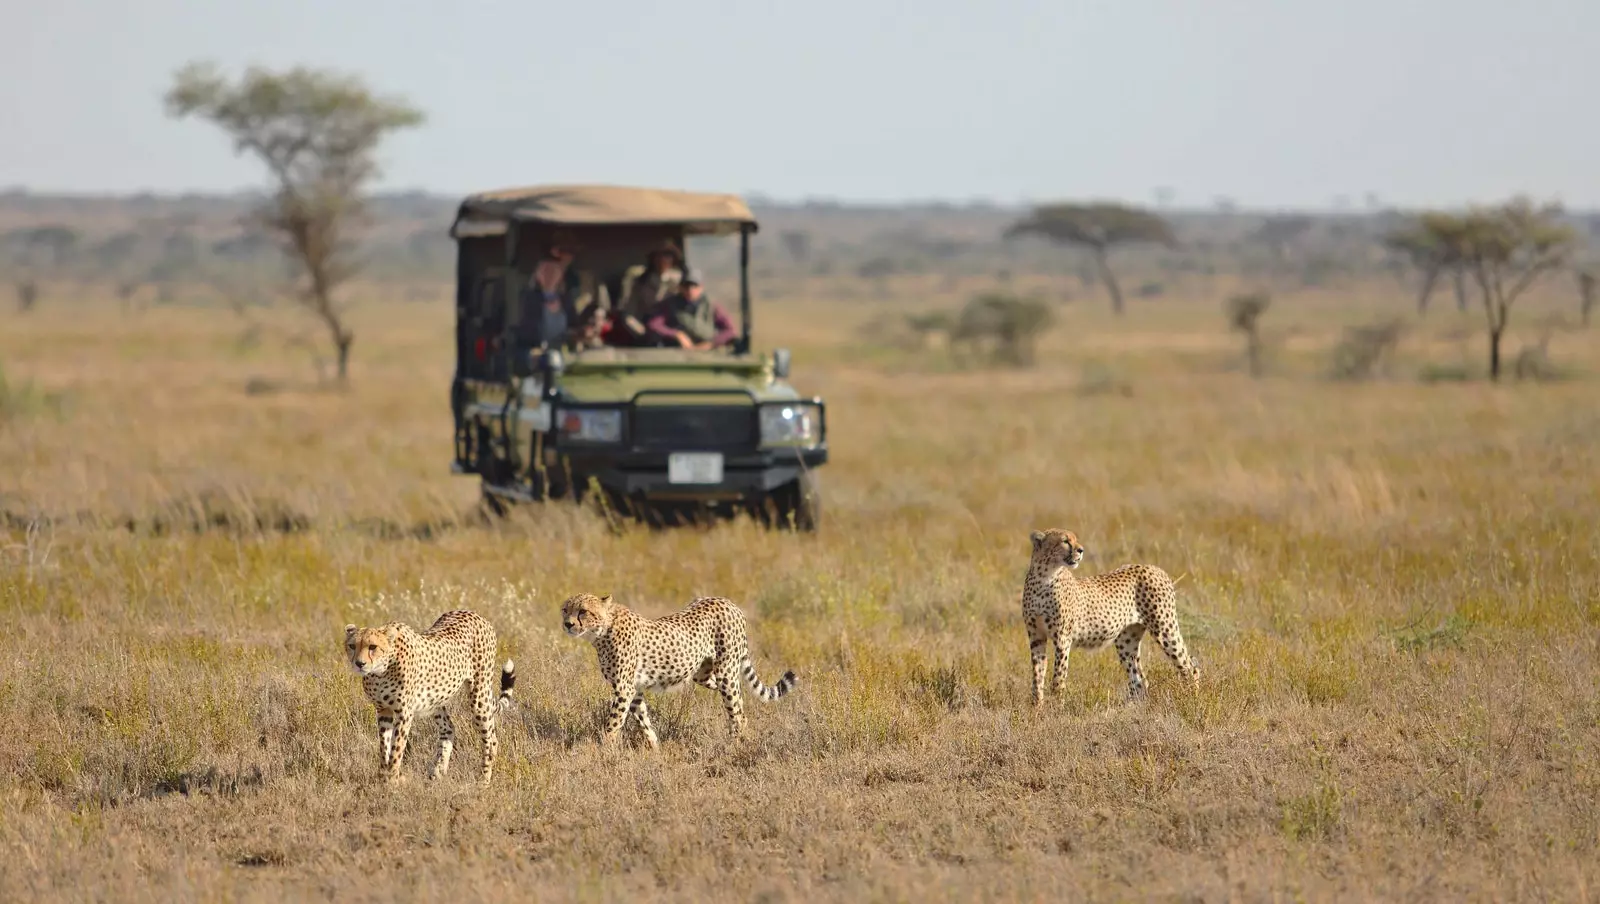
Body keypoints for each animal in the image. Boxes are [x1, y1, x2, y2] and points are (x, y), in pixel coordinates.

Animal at [345, 604, 515, 784]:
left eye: (373, 647)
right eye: (352, 646)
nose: (359, 663)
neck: (380, 671)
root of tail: (474, 614)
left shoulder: (404, 713)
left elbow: (397, 748)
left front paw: (392, 779)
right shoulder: (383, 710)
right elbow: (384, 746)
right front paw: (384, 777)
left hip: (479, 697)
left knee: (491, 740)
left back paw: (484, 780)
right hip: (435, 700)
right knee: (449, 728)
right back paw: (438, 771)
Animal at [560, 592, 796, 748]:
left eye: (583, 611)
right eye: (565, 609)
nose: (568, 624)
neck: (602, 631)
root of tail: (727, 601)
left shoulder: (624, 689)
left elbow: (613, 723)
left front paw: (604, 749)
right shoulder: (634, 690)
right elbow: (643, 720)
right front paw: (654, 749)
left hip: (726, 671)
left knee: (736, 711)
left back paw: (734, 745)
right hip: (705, 674)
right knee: (737, 700)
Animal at [1024, 528, 1203, 704]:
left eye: (1075, 539)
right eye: (1065, 541)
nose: (1081, 550)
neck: (1045, 575)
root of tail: (1154, 568)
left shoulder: (1062, 638)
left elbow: (1058, 677)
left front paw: (1056, 706)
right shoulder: (1036, 637)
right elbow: (1037, 676)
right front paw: (1037, 707)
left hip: (1164, 629)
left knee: (1189, 666)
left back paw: (1191, 699)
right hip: (1127, 640)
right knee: (1139, 680)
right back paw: (1134, 708)